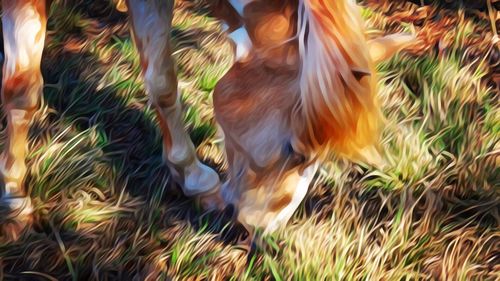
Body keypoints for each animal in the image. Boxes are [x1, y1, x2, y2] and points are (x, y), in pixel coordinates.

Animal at [0, 0, 414, 240]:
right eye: (294, 151)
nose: (265, 232)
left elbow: (163, 81)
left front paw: (192, 176)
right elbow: (21, 88)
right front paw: (13, 196)